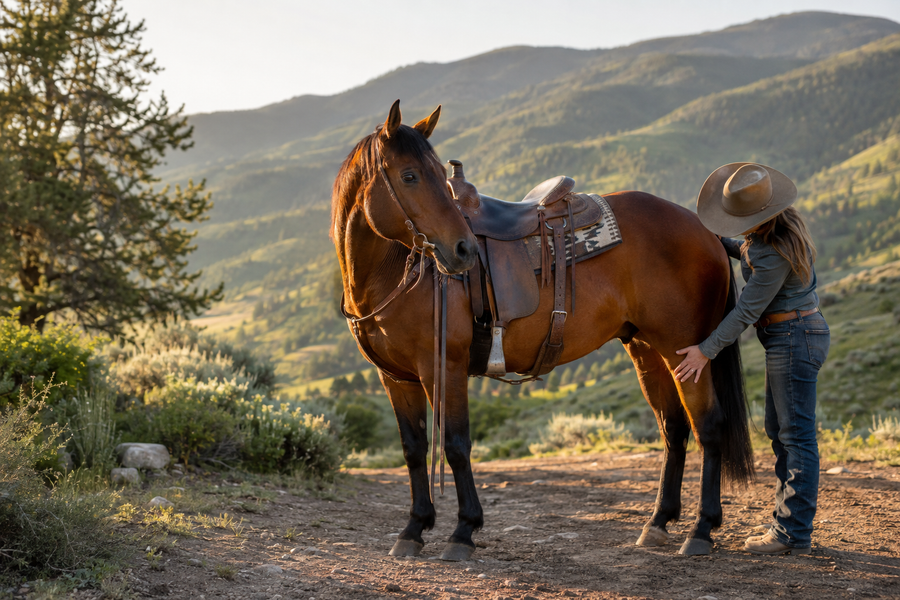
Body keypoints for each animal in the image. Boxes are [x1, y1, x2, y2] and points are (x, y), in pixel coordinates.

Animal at [332, 100, 753, 560]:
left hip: (685, 350)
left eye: (437, 175)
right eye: (409, 176)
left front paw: (463, 530)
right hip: (647, 350)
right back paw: (658, 522)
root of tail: (705, 230)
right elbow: (413, 449)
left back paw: (702, 529)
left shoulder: (444, 368)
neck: (392, 273)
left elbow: (456, 446)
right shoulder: (396, 378)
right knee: (673, 428)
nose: (463, 250)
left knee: (709, 426)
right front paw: (413, 529)